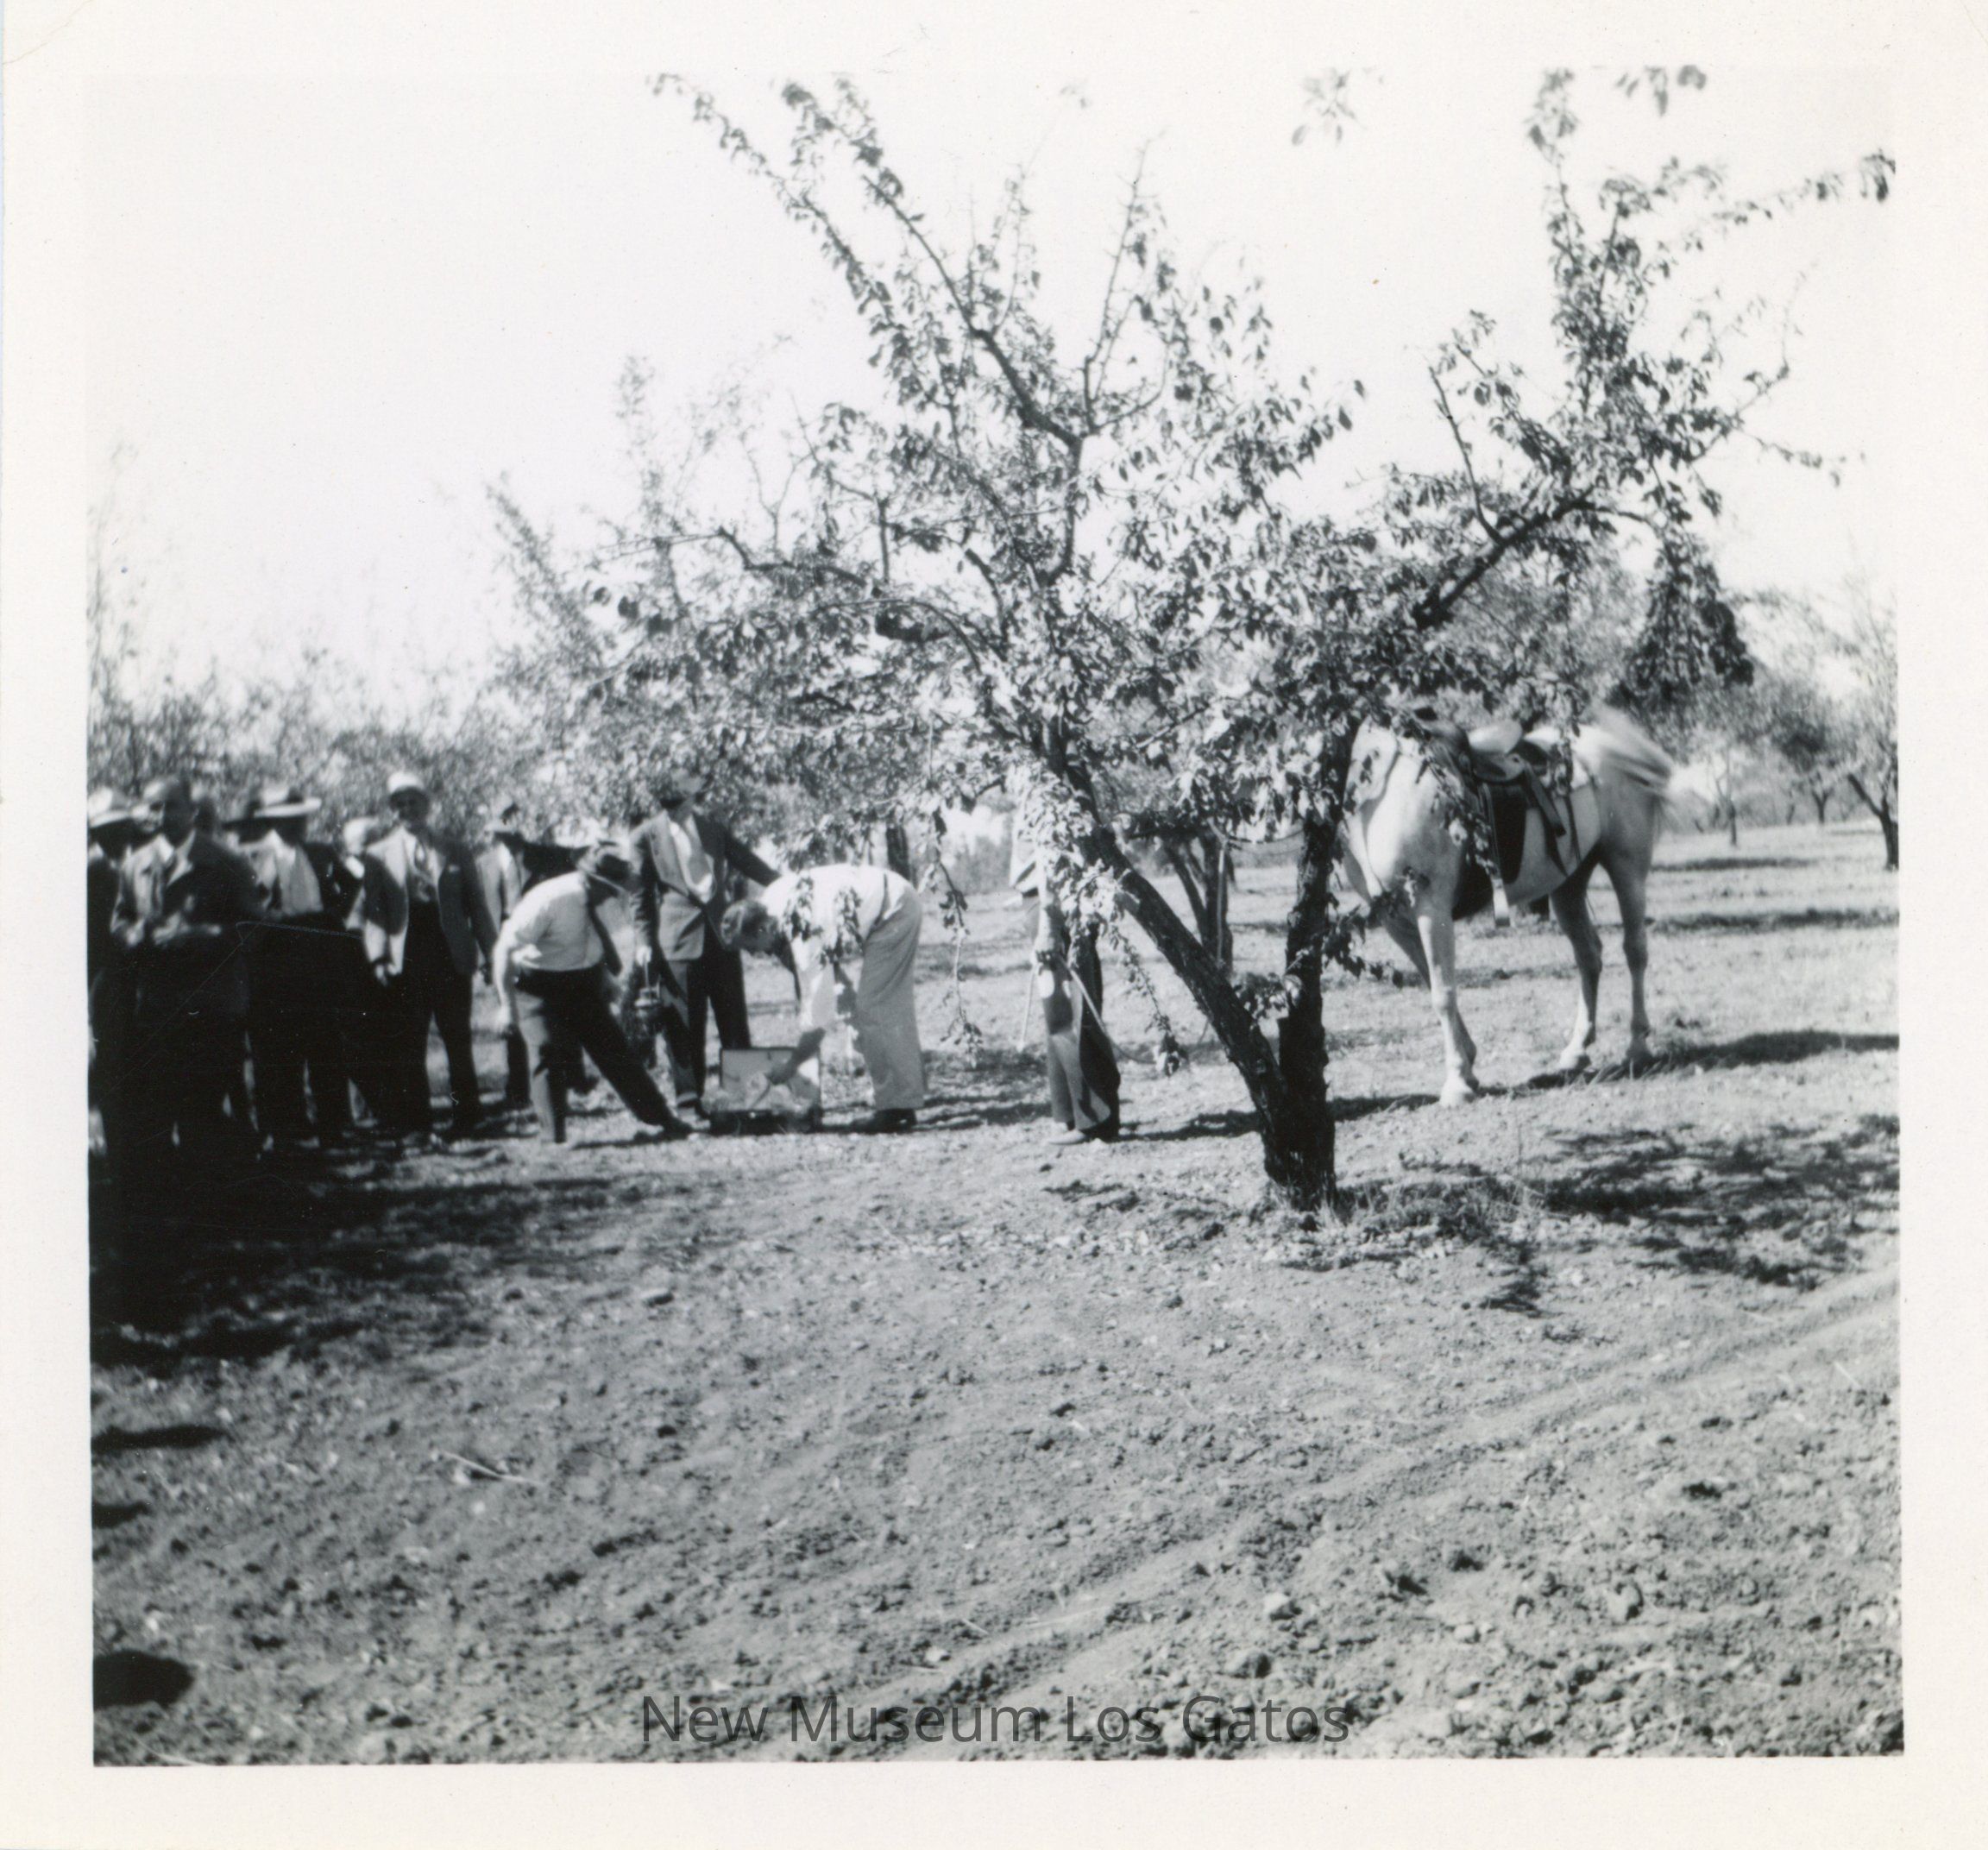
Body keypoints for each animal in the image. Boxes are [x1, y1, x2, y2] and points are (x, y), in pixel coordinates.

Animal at [1339, 705, 1675, 1106]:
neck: (1381, 790)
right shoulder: (1397, 921)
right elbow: (1434, 984)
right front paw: (1468, 1066)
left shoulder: (1431, 909)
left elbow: (1443, 993)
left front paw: (1457, 1082)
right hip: (1569, 883)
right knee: (1589, 956)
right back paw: (1576, 1051)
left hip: (1626, 866)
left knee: (1635, 951)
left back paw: (1637, 1046)